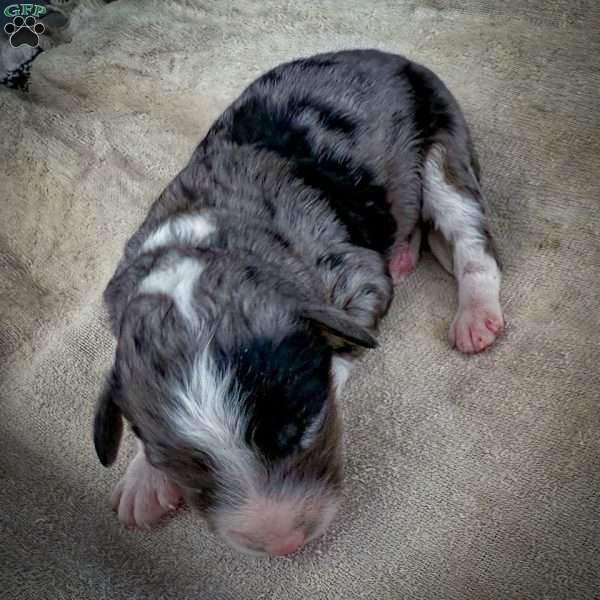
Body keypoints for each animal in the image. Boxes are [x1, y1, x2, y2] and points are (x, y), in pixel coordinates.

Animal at [94, 49, 504, 556]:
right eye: (190, 470)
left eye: (299, 429)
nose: (282, 542)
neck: (200, 243)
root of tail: (391, 55)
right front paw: (143, 483)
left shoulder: (357, 276)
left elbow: (343, 345)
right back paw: (406, 255)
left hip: (444, 151)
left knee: (473, 244)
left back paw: (475, 317)